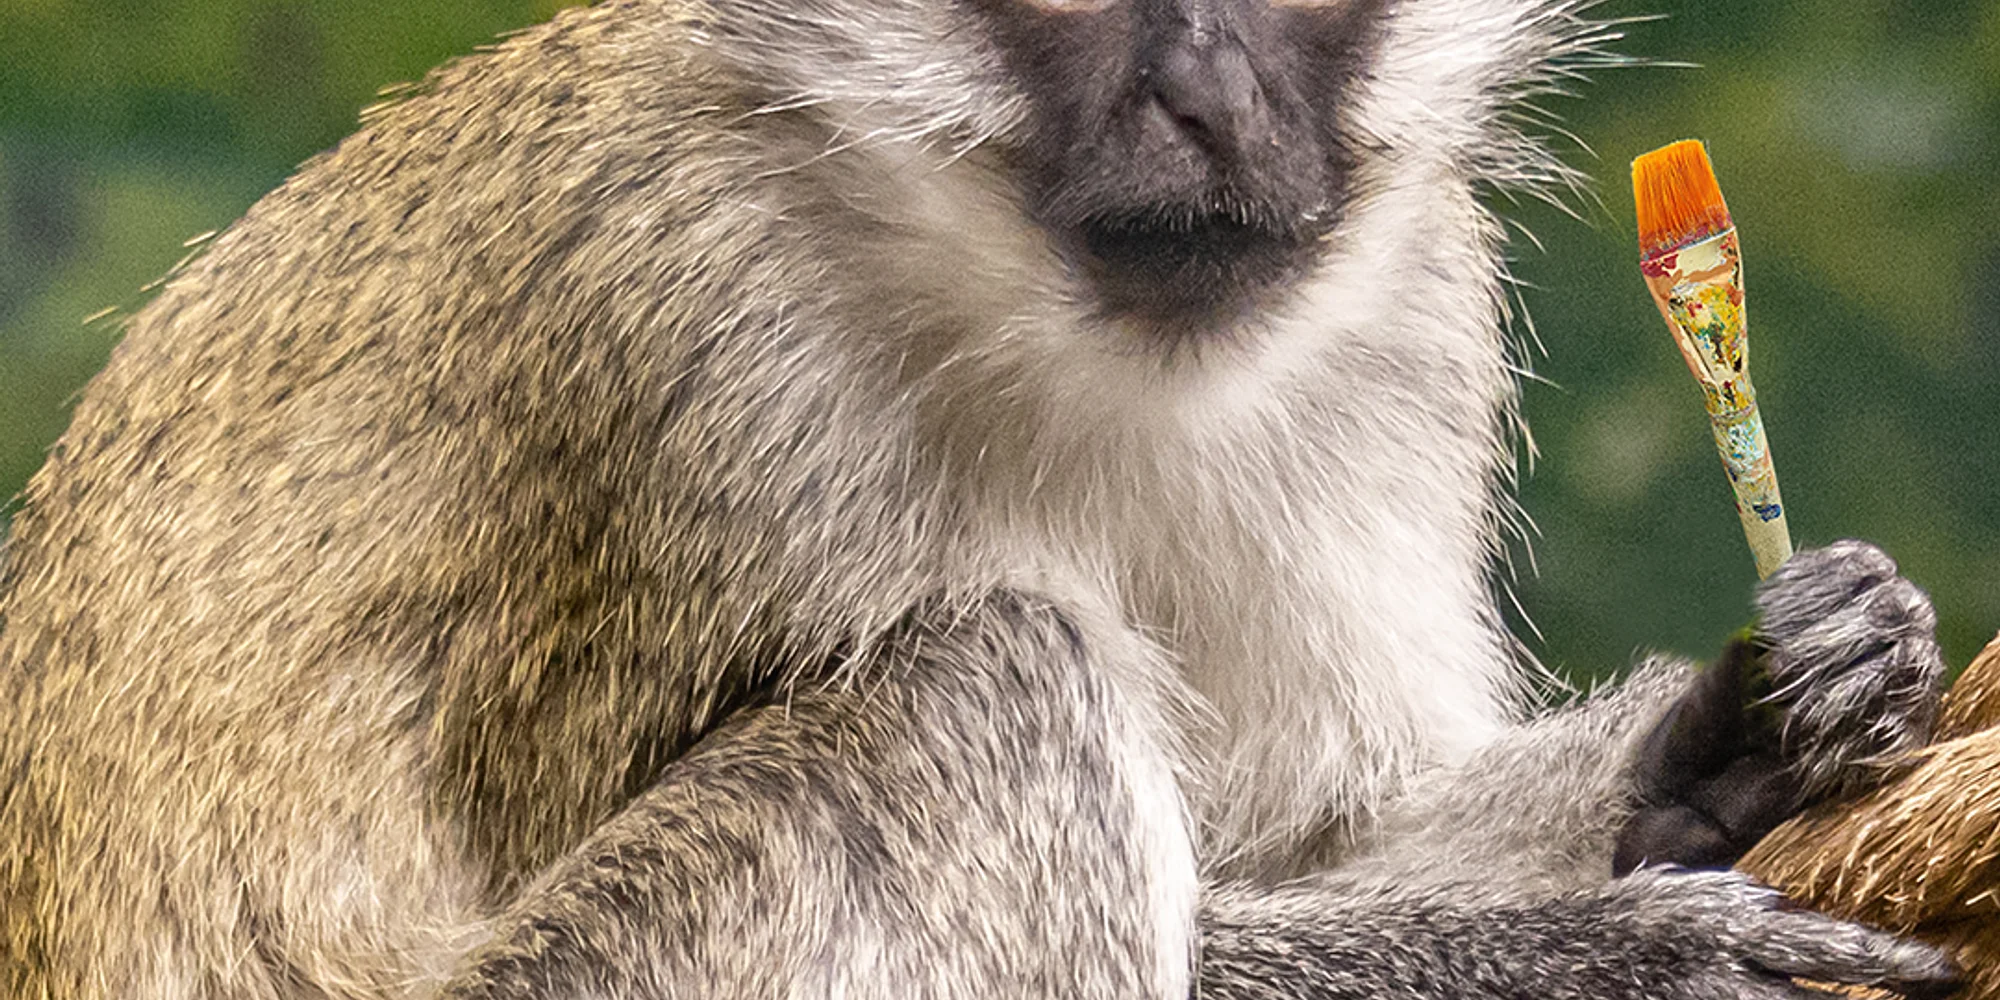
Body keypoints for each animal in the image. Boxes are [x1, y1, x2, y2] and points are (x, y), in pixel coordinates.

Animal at [0, 0, 1960, 996]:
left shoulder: (1409, 312)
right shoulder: (676, 334)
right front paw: (1592, 949)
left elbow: (1304, 834)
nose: (1208, 101)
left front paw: (1744, 734)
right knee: (986, 686)